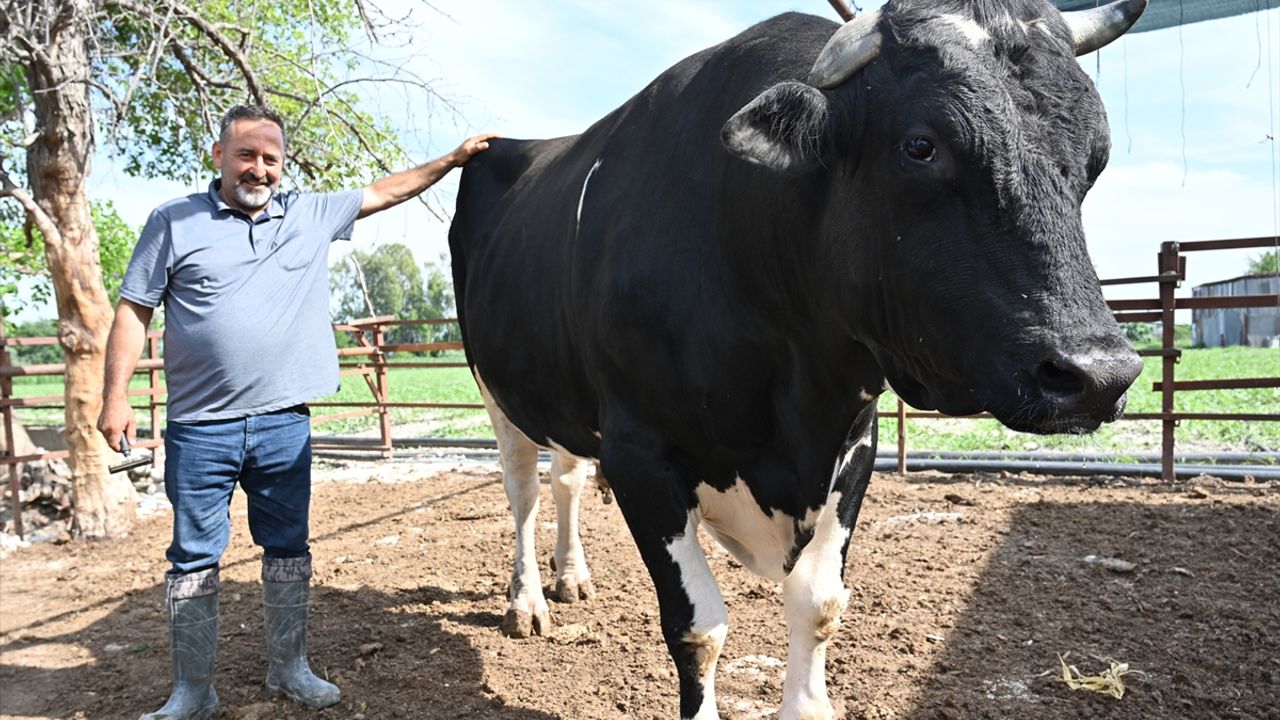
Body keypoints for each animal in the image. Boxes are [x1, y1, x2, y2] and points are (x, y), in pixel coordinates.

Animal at [448, 0, 1147, 717]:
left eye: (1095, 158)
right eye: (920, 145)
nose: (1099, 374)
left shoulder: (854, 442)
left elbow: (818, 602)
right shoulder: (638, 452)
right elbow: (698, 626)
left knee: (565, 478)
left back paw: (572, 576)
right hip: (495, 388)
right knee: (524, 489)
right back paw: (528, 600)